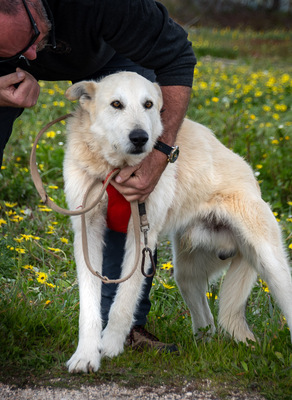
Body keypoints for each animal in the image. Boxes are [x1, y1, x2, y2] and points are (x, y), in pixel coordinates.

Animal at [64, 71, 292, 372]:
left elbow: (124, 301)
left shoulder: (142, 237)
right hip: (187, 274)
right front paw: (86, 355)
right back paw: (206, 348)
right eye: (116, 104)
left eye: (148, 104)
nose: (140, 137)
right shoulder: (87, 232)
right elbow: (89, 306)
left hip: (272, 265)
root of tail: (252, 179)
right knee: (207, 322)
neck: (115, 171)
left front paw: (111, 346)